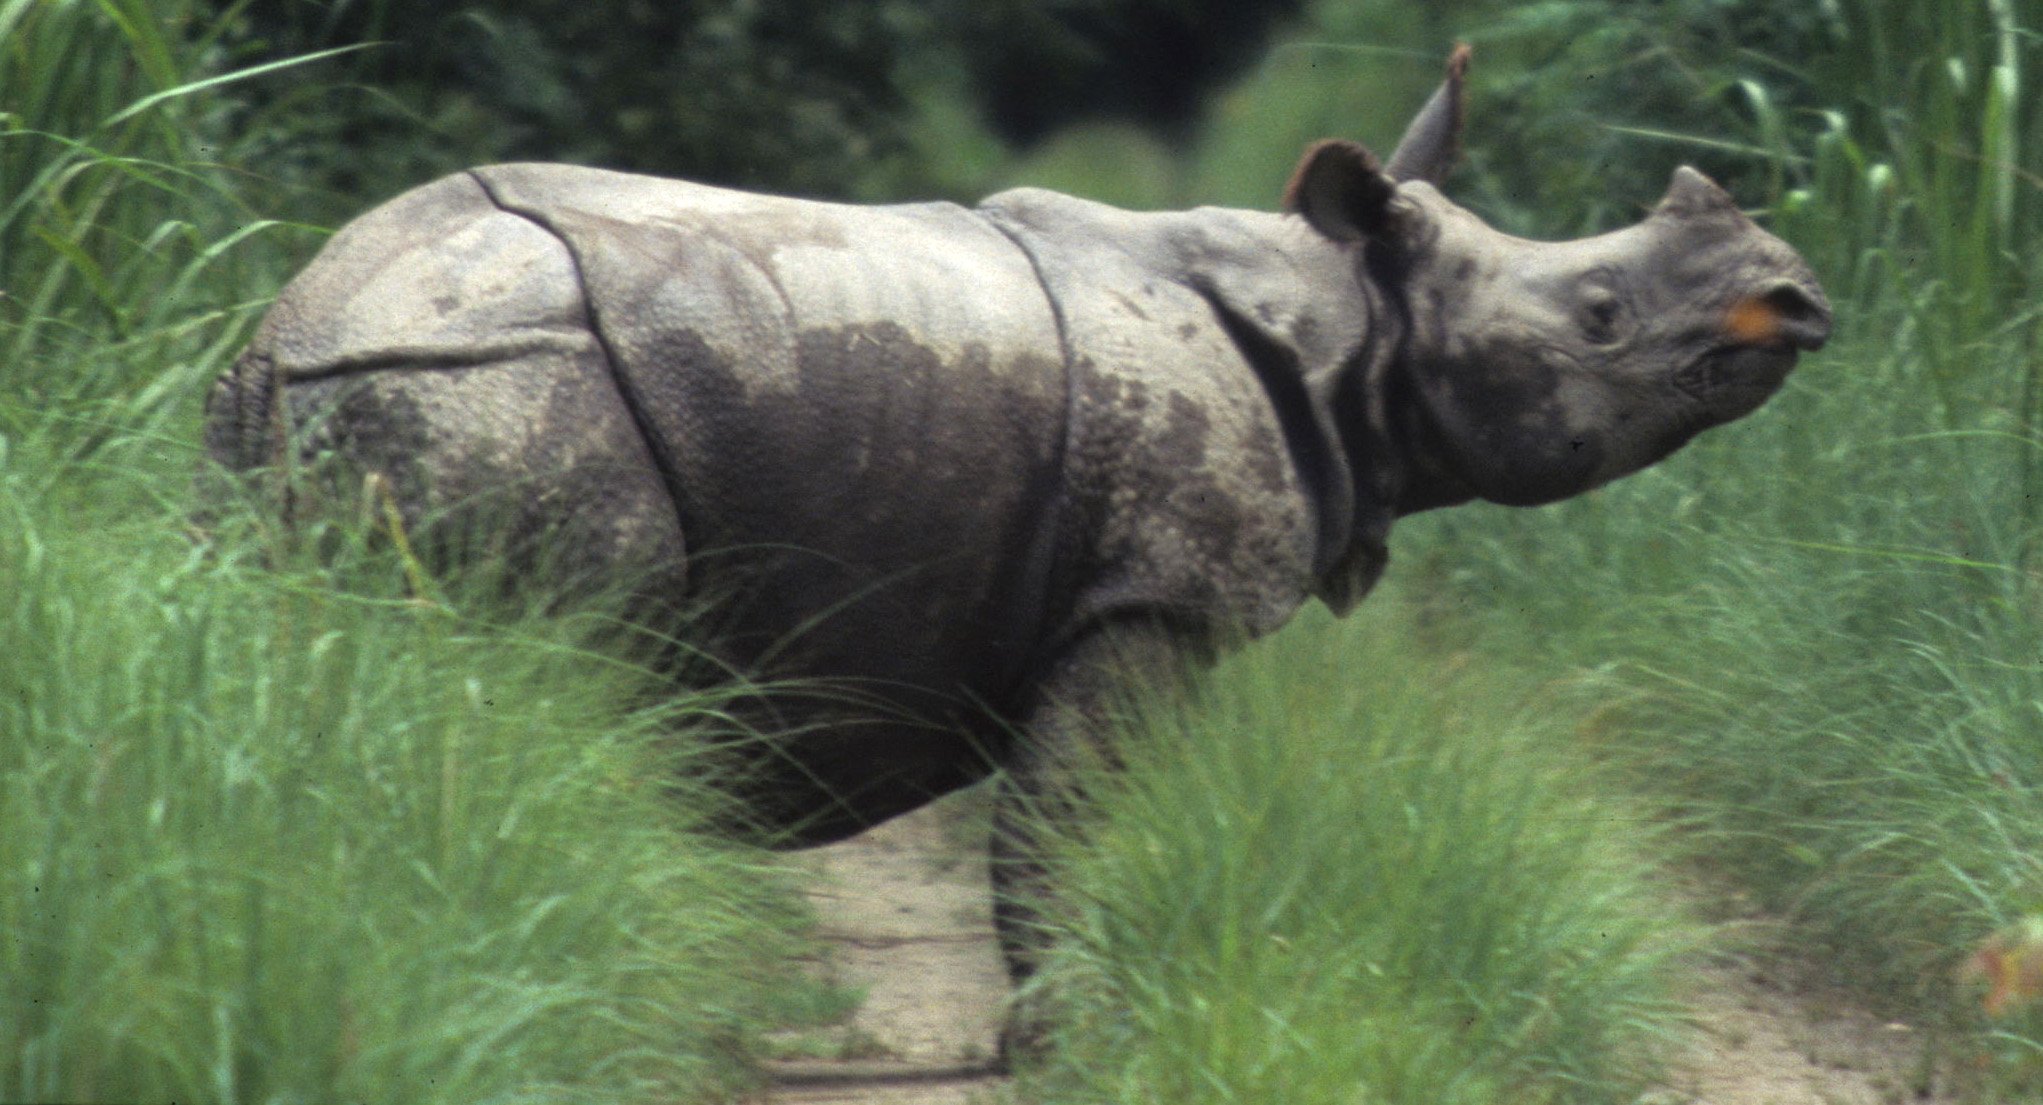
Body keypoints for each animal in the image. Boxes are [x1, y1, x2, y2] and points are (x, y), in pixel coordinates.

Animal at [204, 46, 1829, 1049]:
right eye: (1600, 317)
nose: (1795, 300)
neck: (1351, 319)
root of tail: (299, 330)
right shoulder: (1152, 596)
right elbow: (1068, 819)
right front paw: (1068, 1034)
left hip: (319, 411)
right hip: (511, 384)